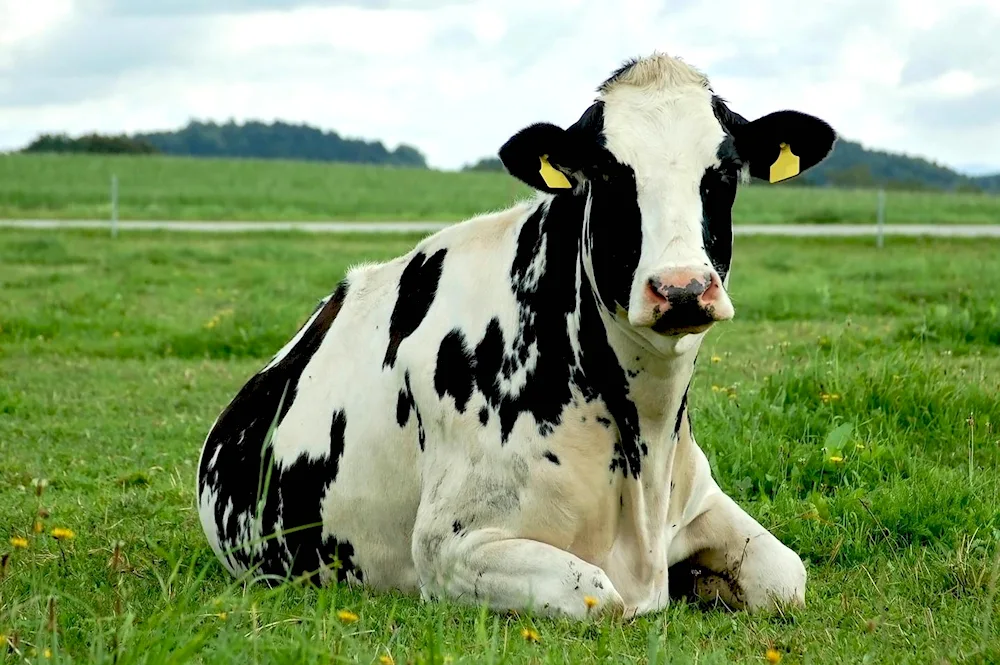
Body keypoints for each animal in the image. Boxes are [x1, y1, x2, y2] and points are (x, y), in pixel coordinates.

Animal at [197, 54, 836, 620]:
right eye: (607, 173)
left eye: (724, 173)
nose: (681, 288)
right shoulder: (451, 548)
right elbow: (600, 596)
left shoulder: (700, 501)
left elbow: (787, 576)